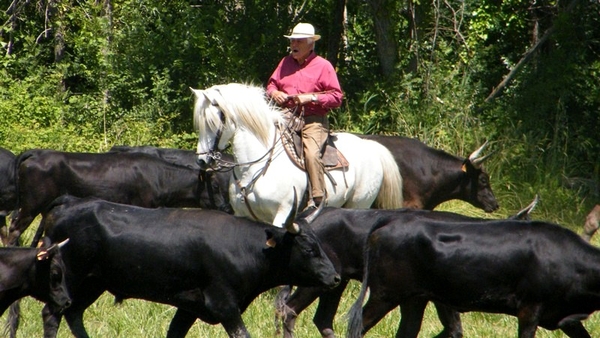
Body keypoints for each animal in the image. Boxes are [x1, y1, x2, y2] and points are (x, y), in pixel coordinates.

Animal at [41, 195, 342, 338]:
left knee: (74, 314)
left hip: (93, 283)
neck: (245, 248)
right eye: (308, 248)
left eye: (319, 242)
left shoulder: (188, 307)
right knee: (51, 314)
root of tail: (70, 202)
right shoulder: (225, 306)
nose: (335, 278)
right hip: (69, 279)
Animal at [192, 82, 404, 227]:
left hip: (360, 204)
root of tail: (371, 147)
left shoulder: (282, 215)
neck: (254, 168)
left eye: (212, 122)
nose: (202, 160)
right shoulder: (242, 215)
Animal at [346, 211, 600, 338]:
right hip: (385, 294)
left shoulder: (566, 318)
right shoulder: (530, 309)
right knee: (357, 328)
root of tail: (391, 219)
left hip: (414, 298)